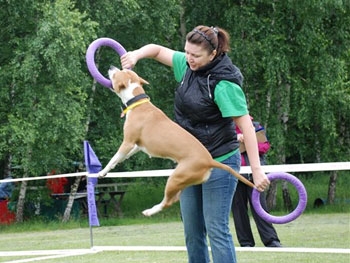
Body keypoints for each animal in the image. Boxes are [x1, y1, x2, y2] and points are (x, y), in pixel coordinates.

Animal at [98, 66, 258, 217]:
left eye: (117, 73)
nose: (111, 67)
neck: (137, 102)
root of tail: (209, 161)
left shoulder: (128, 142)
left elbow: (114, 158)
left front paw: (102, 172)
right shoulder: (137, 146)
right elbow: (122, 157)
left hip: (175, 178)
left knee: (168, 201)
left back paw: (150, 211)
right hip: (184, 180)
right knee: (174, 198)